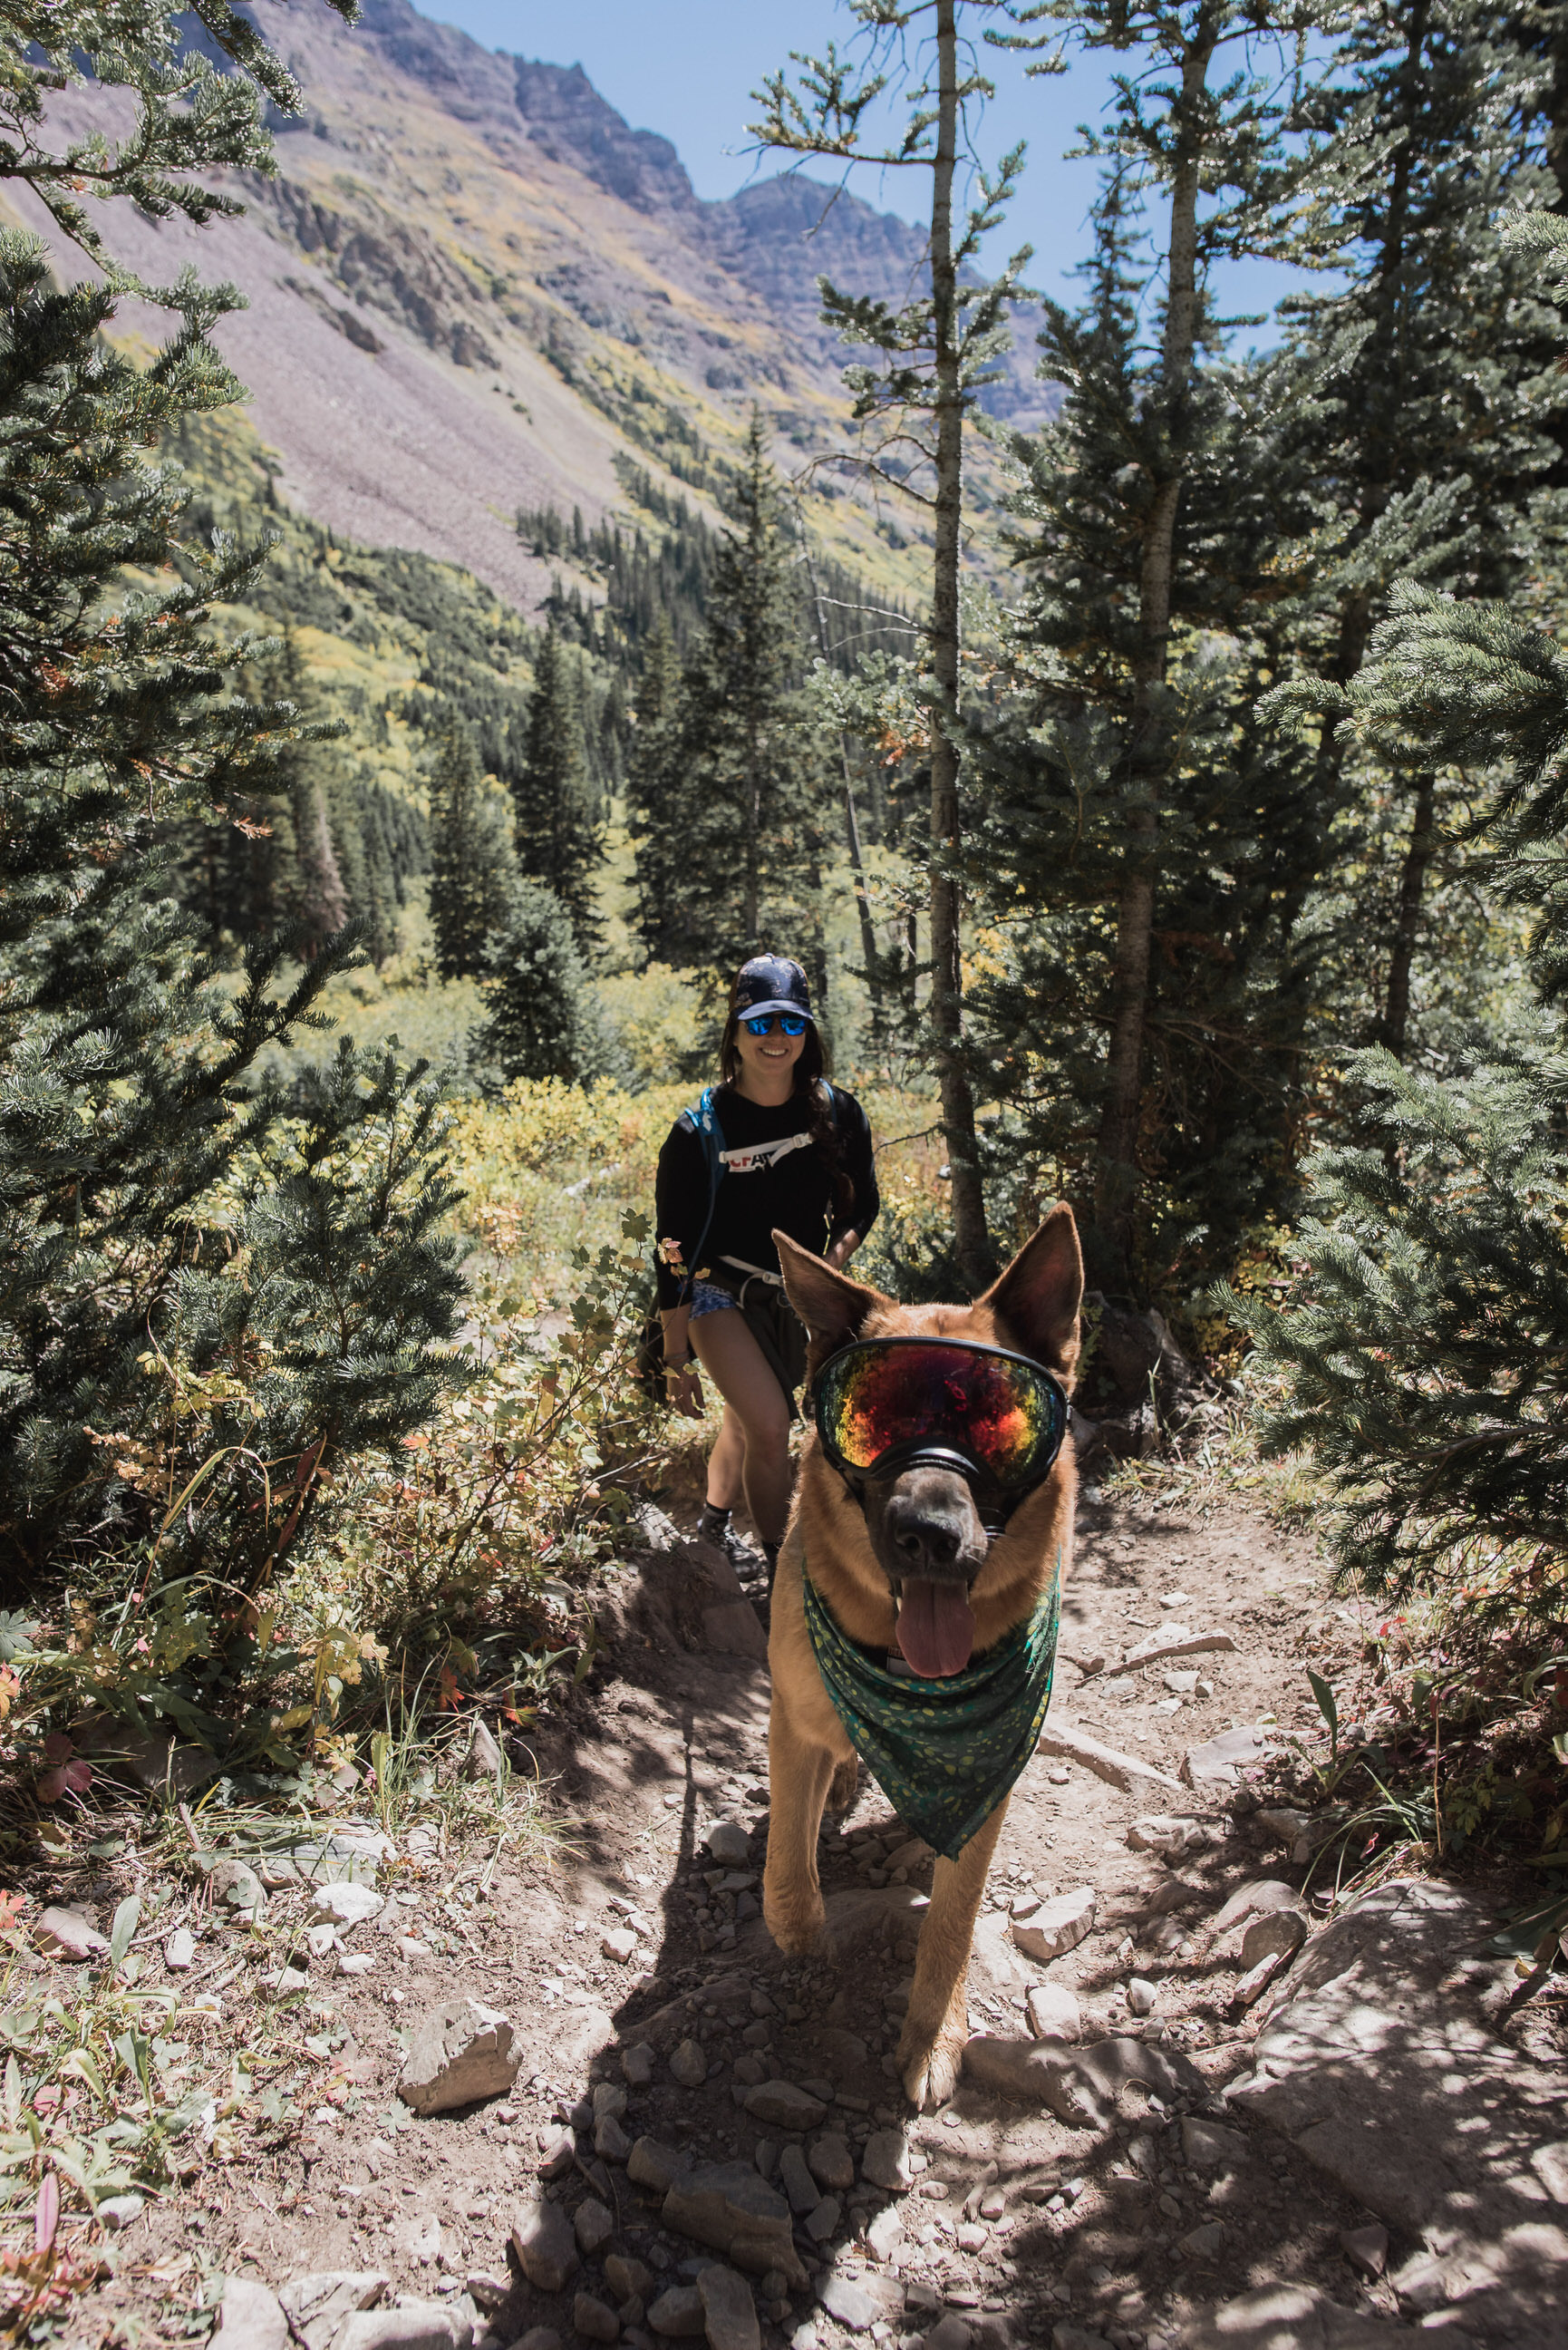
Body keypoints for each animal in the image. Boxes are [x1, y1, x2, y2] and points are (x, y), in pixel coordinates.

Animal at [761, 1212, 1086, 2114]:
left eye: (998, 1426)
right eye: (871, 1422)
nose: (927, 1536)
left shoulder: (989, 1781)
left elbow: (953, 1918)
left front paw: (933, 2033)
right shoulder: (793, 1720)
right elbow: (787, 1863)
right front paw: (801, 1937)